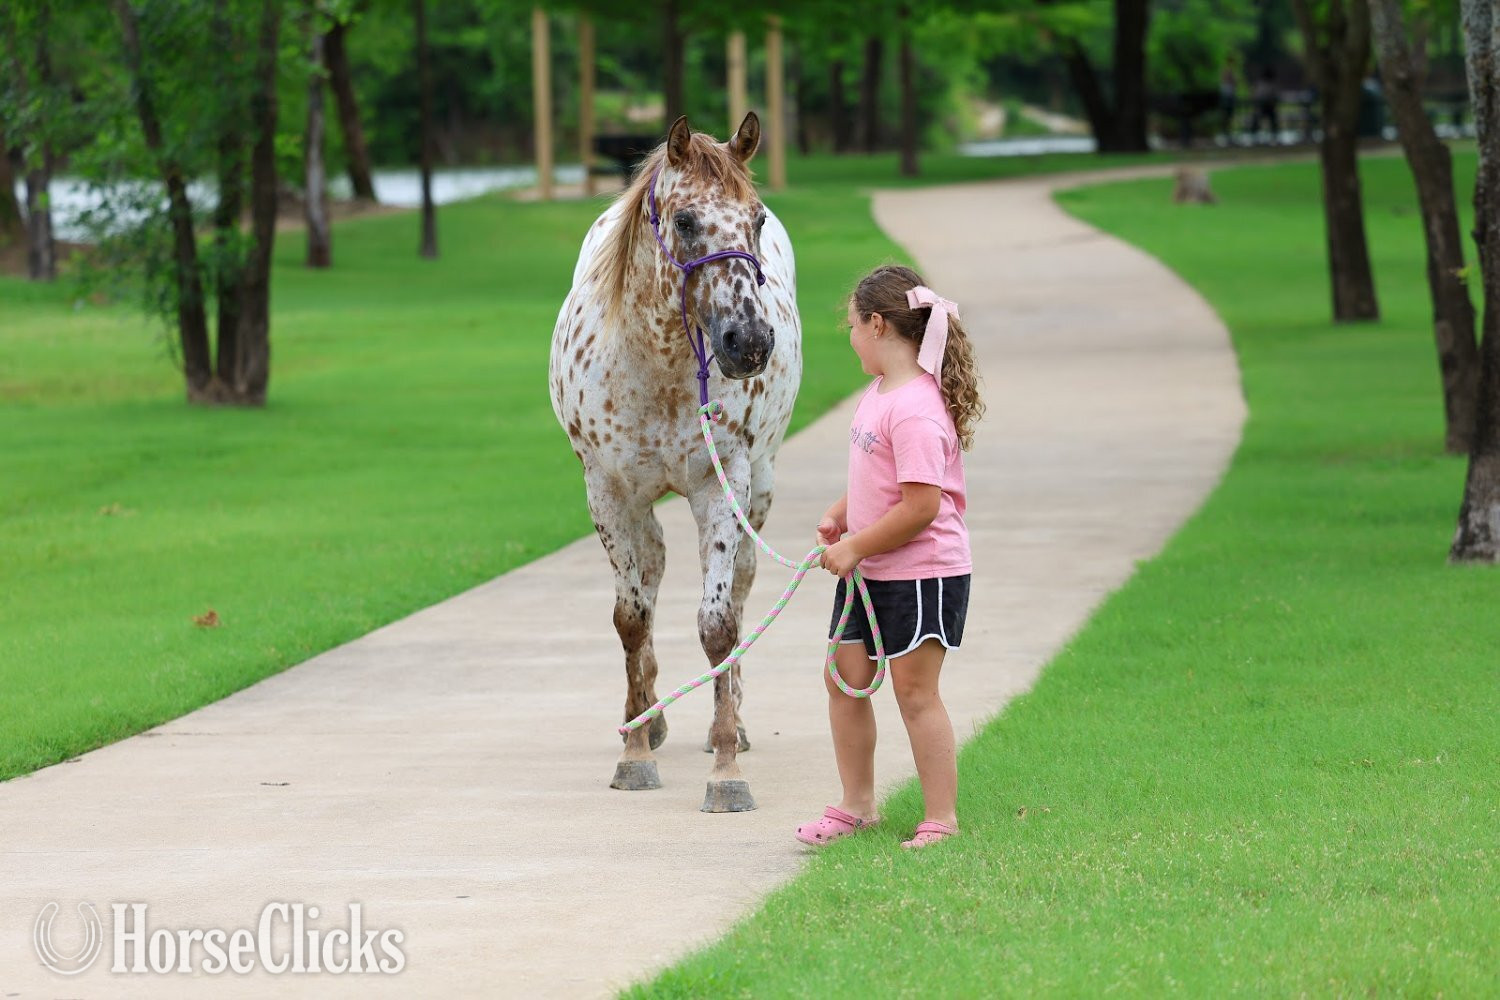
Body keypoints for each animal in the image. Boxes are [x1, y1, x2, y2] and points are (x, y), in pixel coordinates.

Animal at [549, 113, 801, 813]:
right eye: (686, 221)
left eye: (756, 219)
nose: (749, 343)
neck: (654, 364)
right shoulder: (609, 491)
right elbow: (631, 618)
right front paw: (634, 753)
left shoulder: (723, 486)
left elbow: (717, 623)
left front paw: (726, 772)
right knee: (654, 566)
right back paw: (648, 717)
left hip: (758, 488)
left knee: (739, 586)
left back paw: (729, 724)